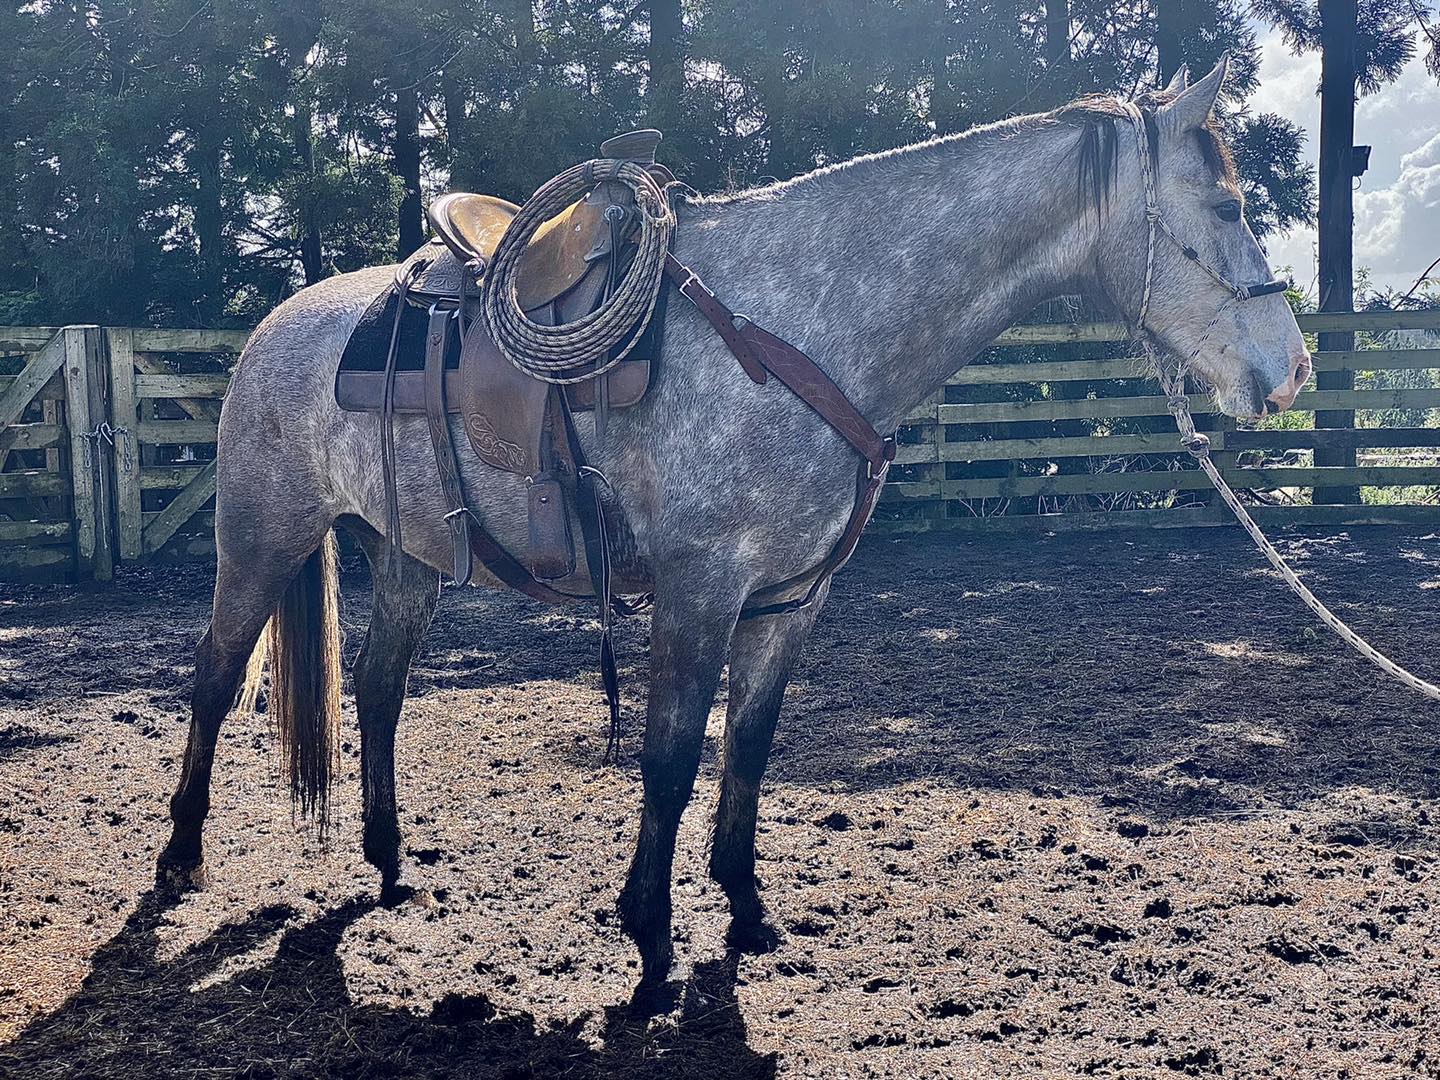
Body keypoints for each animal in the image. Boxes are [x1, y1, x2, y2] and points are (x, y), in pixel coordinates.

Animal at [156, 58, 1311, 988]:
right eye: (1224, 204)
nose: (1290, 369)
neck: (804, 327)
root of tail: (276, 326)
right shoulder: (700, 589)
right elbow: (671, 756)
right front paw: (649, 933)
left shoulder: (791, 600)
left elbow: (747, 747)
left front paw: (747, 910)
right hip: (261, 536)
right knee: (215, 674)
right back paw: (179, 858)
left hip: (407, 554)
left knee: (382, 689)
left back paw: (390, 859)